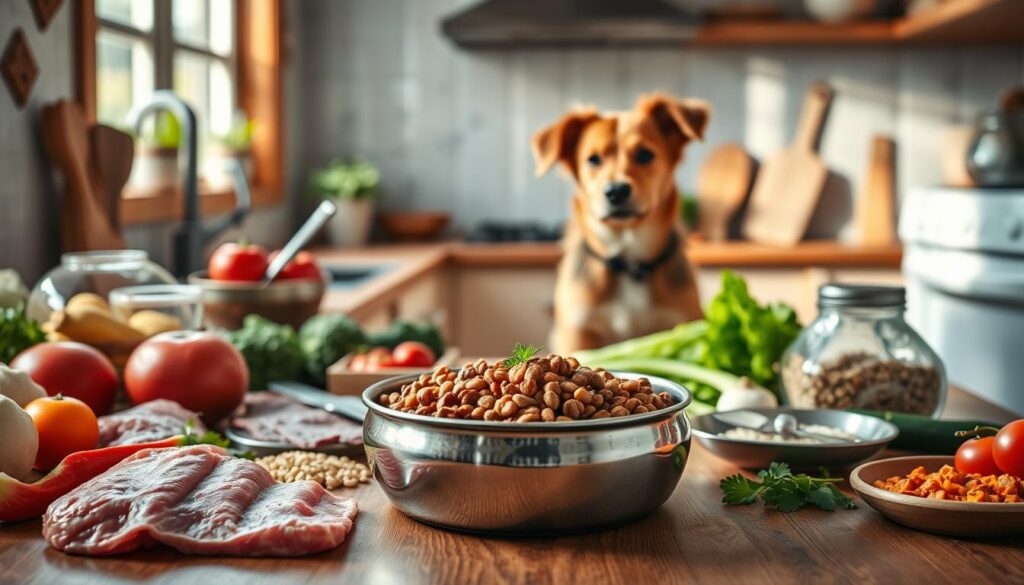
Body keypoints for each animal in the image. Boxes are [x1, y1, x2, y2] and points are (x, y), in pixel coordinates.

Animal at [532, 93, 708, 354]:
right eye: (593, 159)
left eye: (645, 154)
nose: (616, 191)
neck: (629, 260)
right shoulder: (578, 330)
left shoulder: (678, 319)